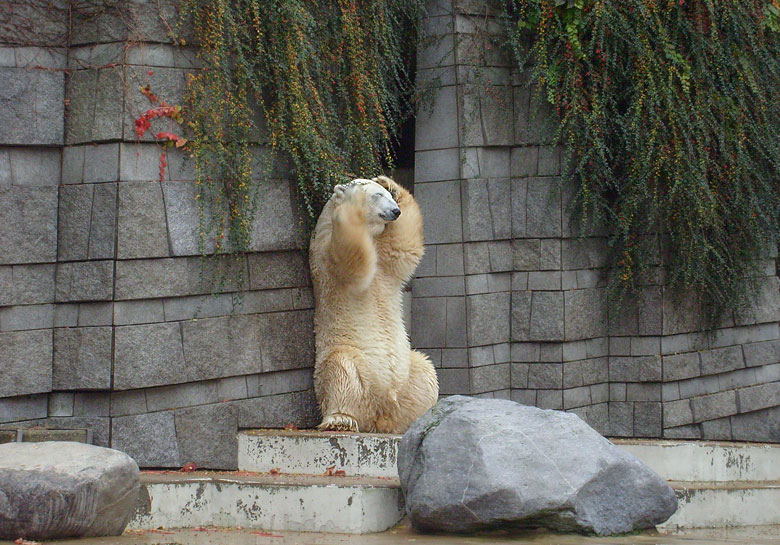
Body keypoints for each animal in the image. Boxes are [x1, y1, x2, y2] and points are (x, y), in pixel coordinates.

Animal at [308, 176, 438, 432]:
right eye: (377, 196)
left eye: (387, 196)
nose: (395, 211)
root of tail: (382, 410)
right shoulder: (325, 250)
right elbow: (352, 263)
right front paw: (353, 203)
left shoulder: (384, 254)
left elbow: (402, 246)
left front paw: (391, 183)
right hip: (348, 360)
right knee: (341, 370)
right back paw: (341, 419)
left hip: (408, 374)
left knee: (426, 373)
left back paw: (419, 416)